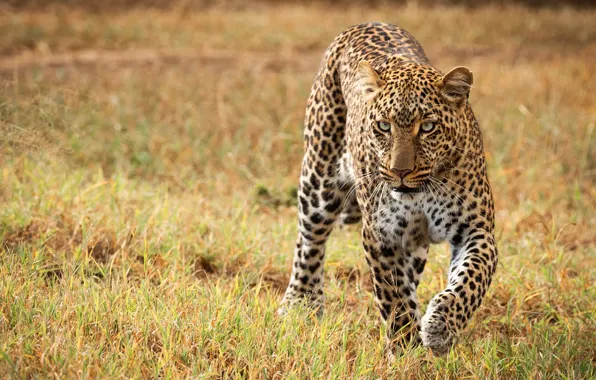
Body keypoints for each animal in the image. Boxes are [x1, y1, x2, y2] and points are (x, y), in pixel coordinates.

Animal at [280, 22, 498, 356]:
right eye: (383, 126)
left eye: (428, 127)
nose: (400, 172)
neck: (422, 193)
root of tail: (366, 23)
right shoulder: (381, 235)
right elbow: (393, 296)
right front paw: (406, 347)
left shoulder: (476, 229)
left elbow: (470, 280)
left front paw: (440, 328)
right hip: (318, 180)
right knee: (309, 241)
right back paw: (301, 303)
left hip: (415, 244)